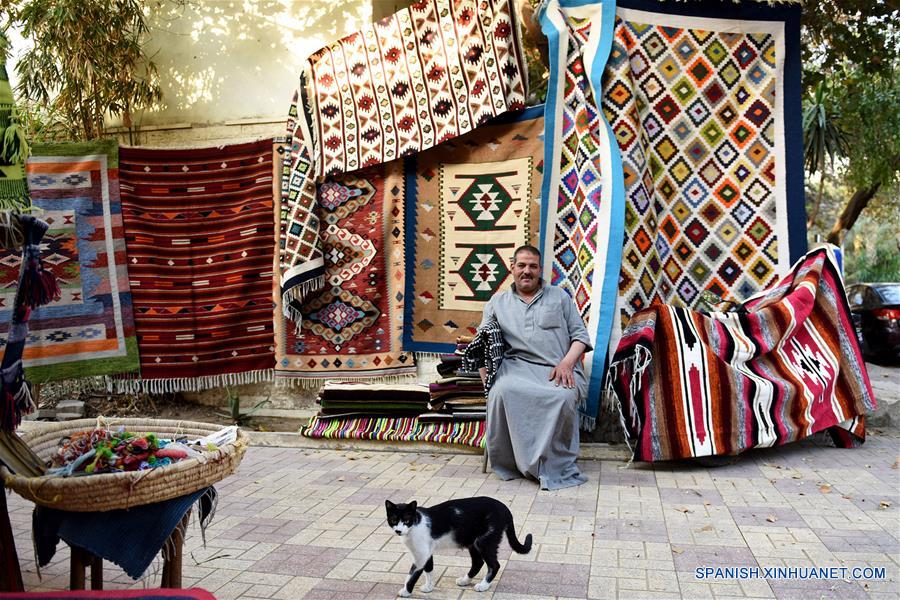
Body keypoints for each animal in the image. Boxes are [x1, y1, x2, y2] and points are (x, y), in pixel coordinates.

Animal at [384, 496, 532, 596]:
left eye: (406, 520)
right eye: (394, 520)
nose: (398, 531)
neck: (415, 524)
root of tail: (504, 507)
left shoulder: (421, 555)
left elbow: (412, 574)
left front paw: (406, 591)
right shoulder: (426, 552)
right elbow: (429, 569)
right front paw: (429, 587)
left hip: (484, 541)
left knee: (494, 565)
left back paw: (483, 585)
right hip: (473, 542)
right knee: (478, 562)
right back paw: (465, 580)